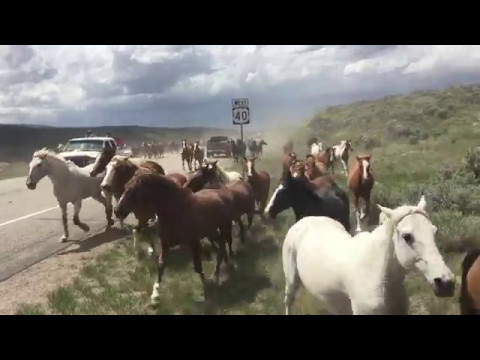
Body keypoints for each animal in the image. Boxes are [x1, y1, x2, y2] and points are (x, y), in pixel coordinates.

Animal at [115, 173, 237, 306]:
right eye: (125, 187)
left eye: (133, 191)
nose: (117, 211)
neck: (176, 211)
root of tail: (222, 191)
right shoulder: (165, 244)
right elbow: (161, 265)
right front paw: (155, 296)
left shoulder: (193, 242)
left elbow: (198, 266)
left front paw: (206, 287)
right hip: (212, 231)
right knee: (221, 246)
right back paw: (226, 266)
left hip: (224, 227)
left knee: (223, 246)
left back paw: (217, 275)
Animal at [284, 197, 456, 316]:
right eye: (407, 236)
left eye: (434, 232)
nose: (446, 283)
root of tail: (306, 220)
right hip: (291, 280)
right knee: (288, 300)